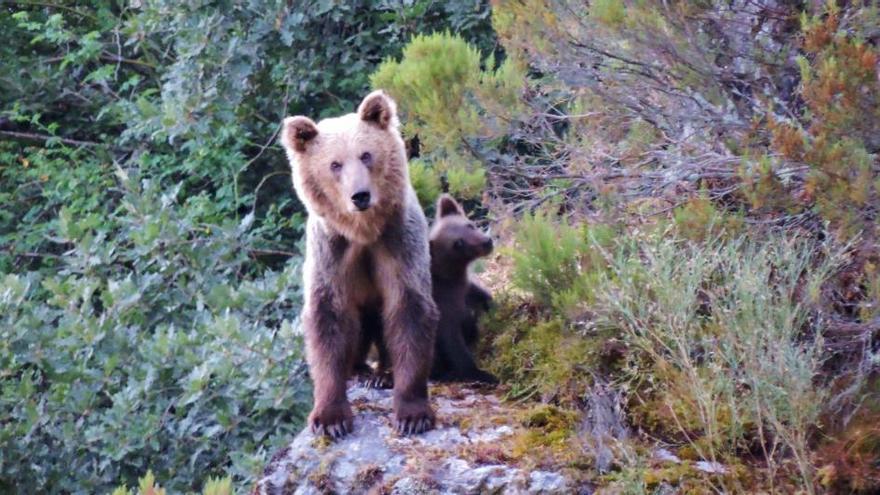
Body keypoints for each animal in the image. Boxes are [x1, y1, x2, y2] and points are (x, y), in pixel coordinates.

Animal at [278, 90, 436, 438]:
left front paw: (412, 414)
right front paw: (330, 419)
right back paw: (361, 370)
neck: (363, 232)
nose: (360, 195)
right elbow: (327, 316)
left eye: (366, 155)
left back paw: (382, 374)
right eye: (334, 164)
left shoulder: (398, 241)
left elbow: (408, 307)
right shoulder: (331, 251)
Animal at [430, 195, 498, 384]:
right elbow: (454, 344)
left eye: (469, 225)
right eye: (457, 243)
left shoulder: (467, 290)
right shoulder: (444, 307)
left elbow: (485, 299)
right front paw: (483, 374)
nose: (486, 242)